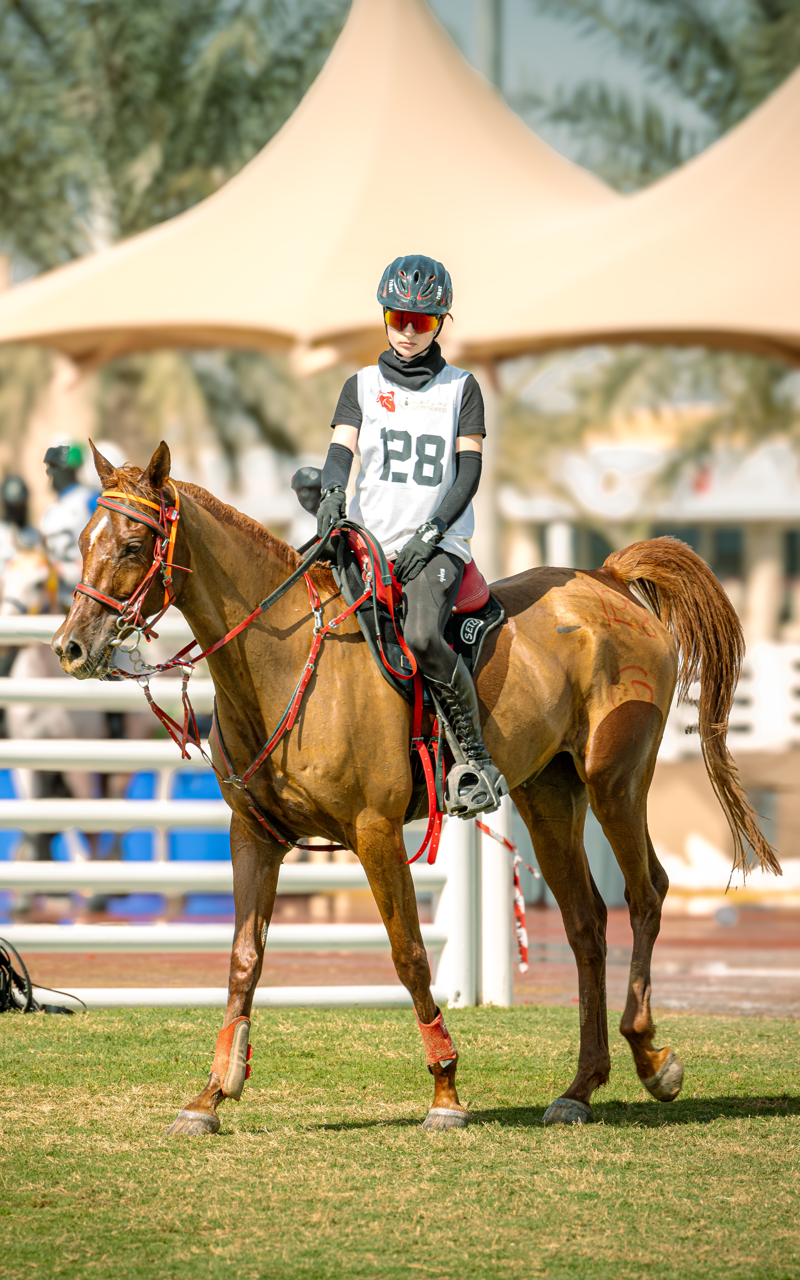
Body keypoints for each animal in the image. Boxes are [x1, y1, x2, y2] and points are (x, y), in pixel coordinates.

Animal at [53, 441, 778, 1135]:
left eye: (133, 544)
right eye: (84, 539)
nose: (70, 647)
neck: (281, 660)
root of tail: (606, 580)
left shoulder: (374, 832)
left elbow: (409, 956)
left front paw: (446, 1091)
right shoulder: (254, 835)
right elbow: (243, 959)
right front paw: (210, 1094)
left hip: (616, 783)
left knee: (646, 894)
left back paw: (652, 1059)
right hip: (549, 799)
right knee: (586, 924)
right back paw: (580, 1087)